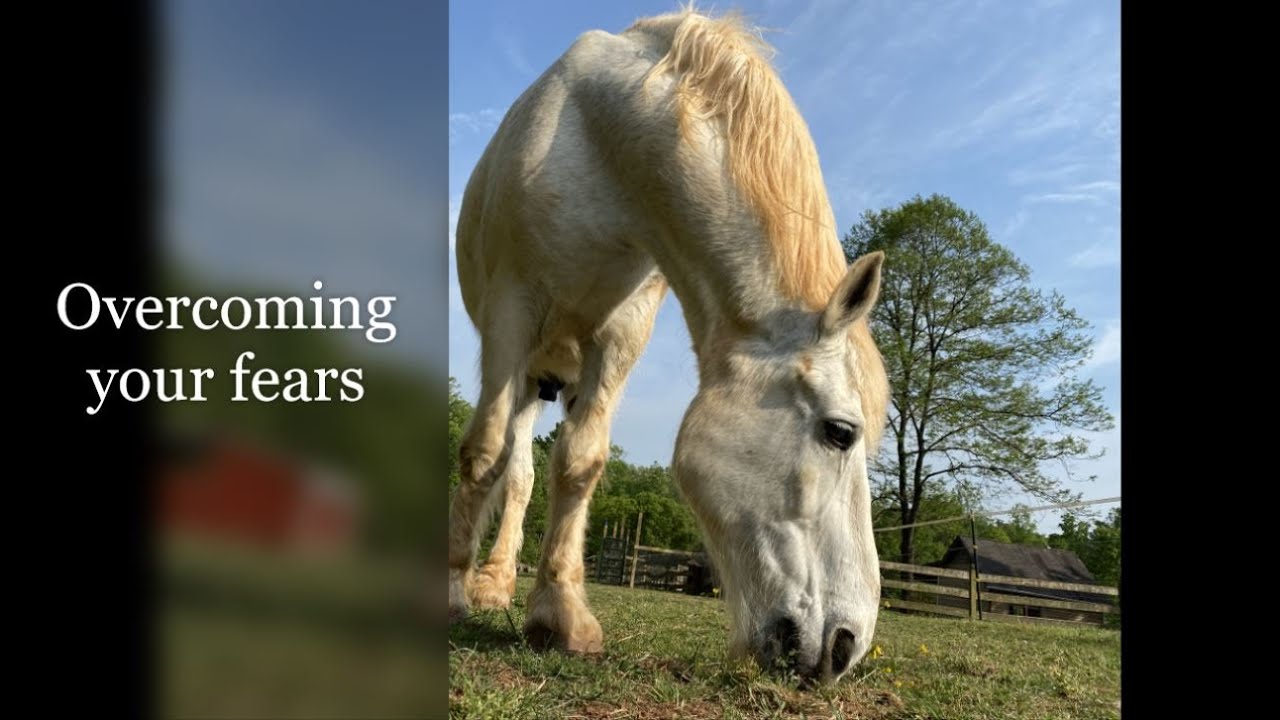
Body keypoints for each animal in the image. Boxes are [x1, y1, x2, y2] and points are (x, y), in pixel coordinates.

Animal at [449, 6, 889, 684]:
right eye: (841, 432)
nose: (846, 646)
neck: (604, 136)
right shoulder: (510, 311)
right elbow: (483, 452)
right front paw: (448, 593)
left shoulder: (622, 331)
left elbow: (580, 462)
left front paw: (560, 616)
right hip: (524, 367)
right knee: (510, 463)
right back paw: (482, 584)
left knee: (526, 475)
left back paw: (497, 585)